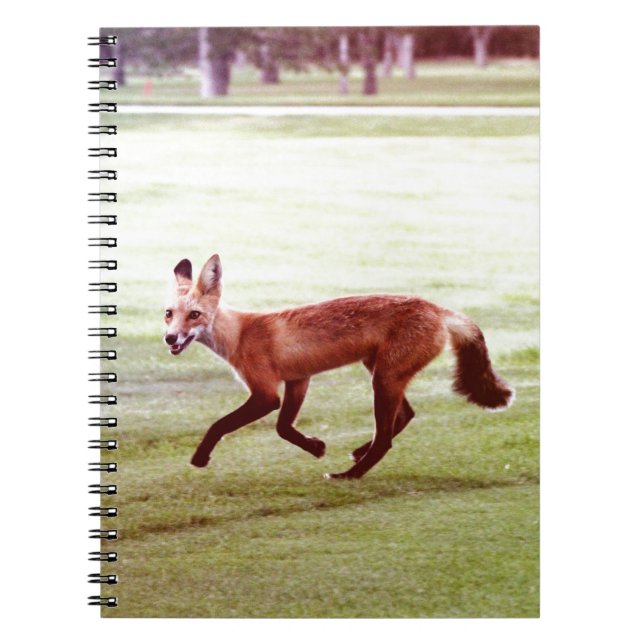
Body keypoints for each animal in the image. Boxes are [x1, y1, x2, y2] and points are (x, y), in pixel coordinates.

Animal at [164, 254, 514, 479]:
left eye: (194, 315)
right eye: (168, 313)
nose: (169, 338)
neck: (239, 334)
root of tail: (437, 309)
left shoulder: (265, 394)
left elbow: (219, 425)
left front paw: (200, 457)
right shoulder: (299, 380)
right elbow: (283, 428)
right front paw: (315, 447)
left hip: (383, 380)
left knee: (386, 439)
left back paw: (350, 474)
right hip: (382, 373)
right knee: (405, 416)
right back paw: (359, 453)